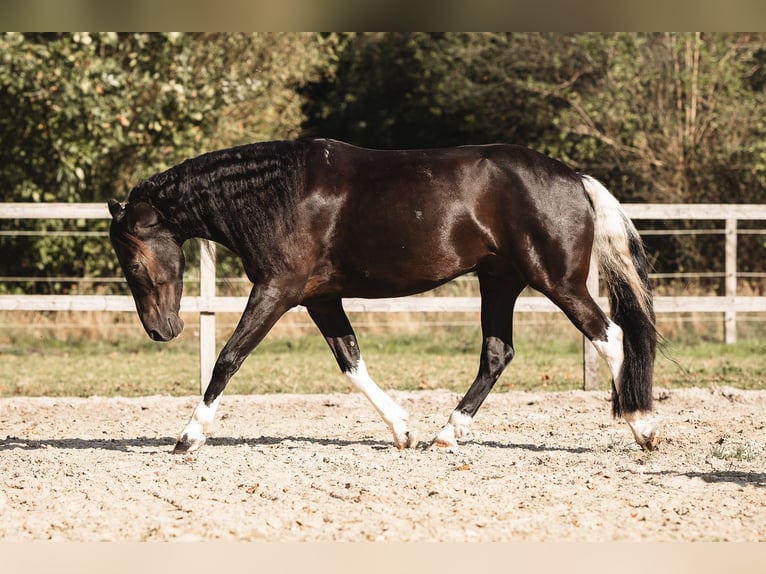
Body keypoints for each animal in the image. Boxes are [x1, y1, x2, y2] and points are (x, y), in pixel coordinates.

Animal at [106, 138, 660, 454]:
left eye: (131, 263)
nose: (161, 330)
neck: (275, 193)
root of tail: (577, 179)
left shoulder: (276, 290)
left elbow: (228, 358)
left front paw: (187, 438)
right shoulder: (319, 298)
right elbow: (351, 363)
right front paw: (402, 431)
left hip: (556, 281)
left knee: (610, 336)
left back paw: (643, 427)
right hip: (499, 282)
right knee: (497, 354)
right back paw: (445, 434)